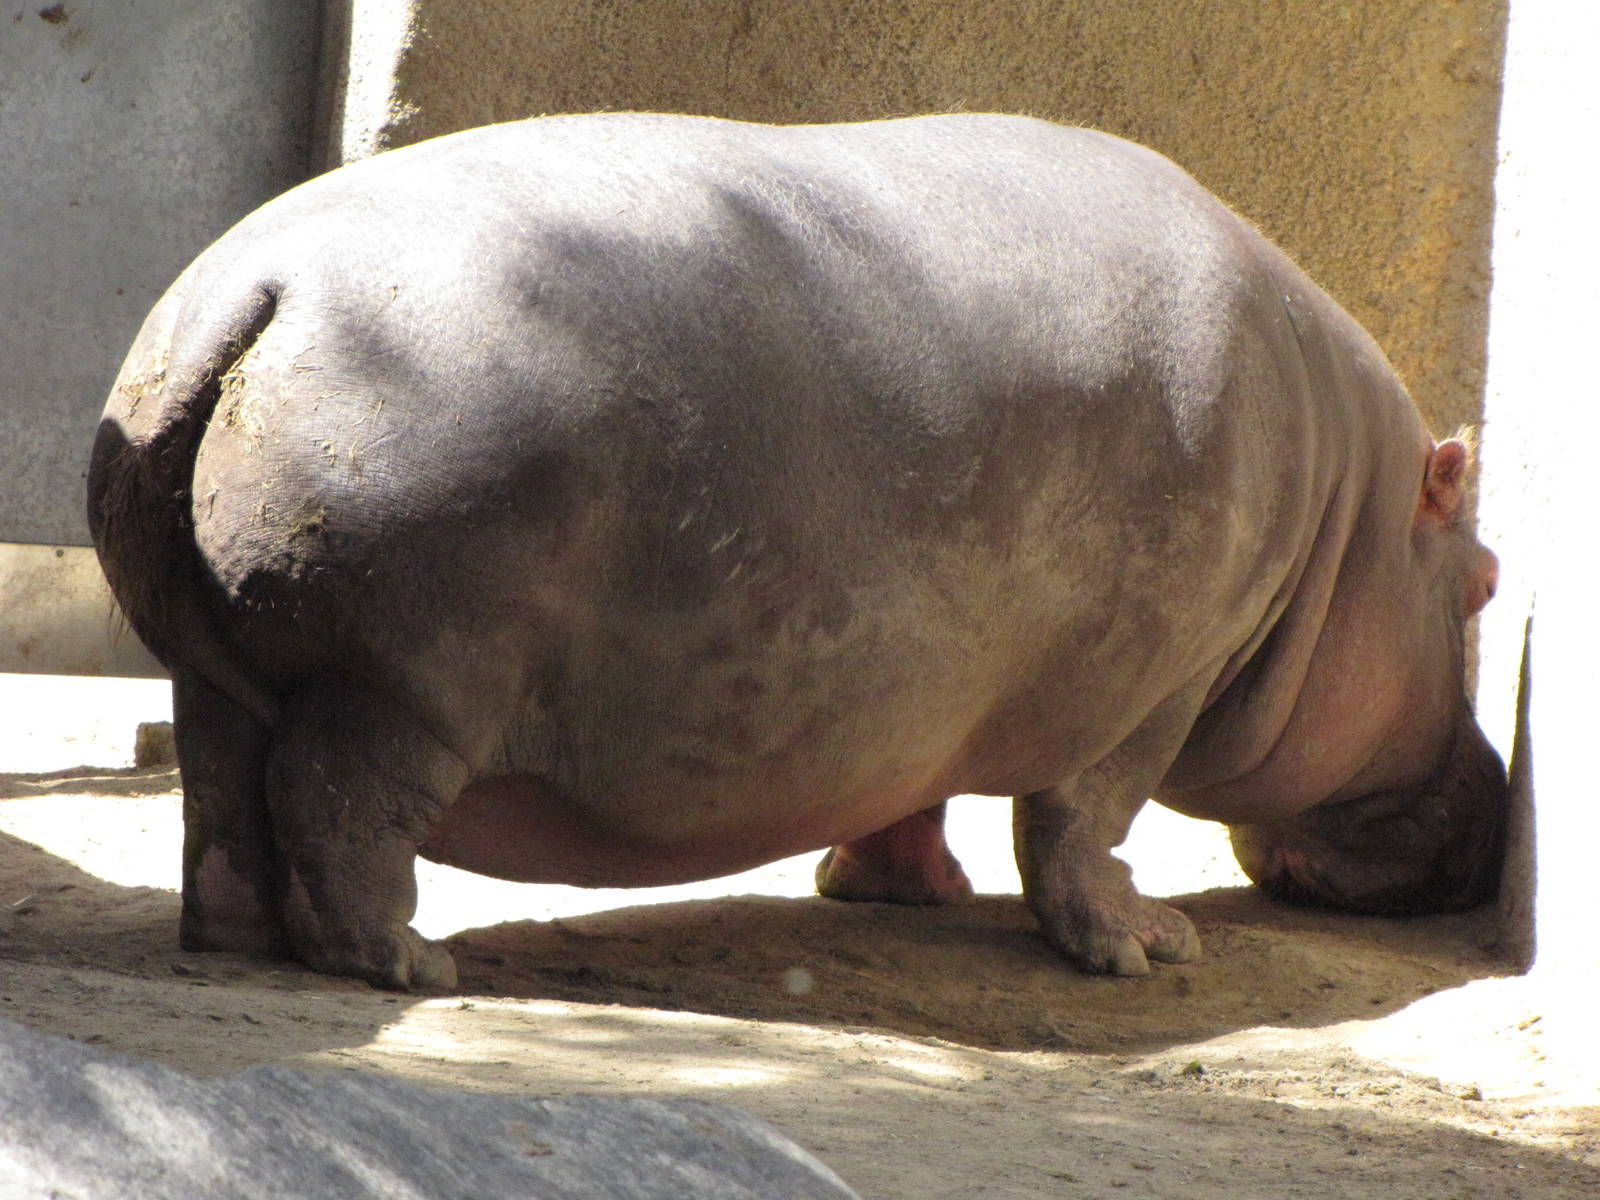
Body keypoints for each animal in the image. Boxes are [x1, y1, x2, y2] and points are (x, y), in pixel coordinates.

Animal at [87, 113, 1506, 990]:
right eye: (1489, 589)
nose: (1495, 809)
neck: (1348, 520)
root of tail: (247, 288)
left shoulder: (923, 690)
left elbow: (915, 793)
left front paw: (904, 893)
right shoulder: (1158, 683)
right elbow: (1083, 823)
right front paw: (1145, 948)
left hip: (223, 667)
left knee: (223, 795)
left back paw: (233, 940)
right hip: (403, 686)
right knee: (336, 801)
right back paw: (405, 963)